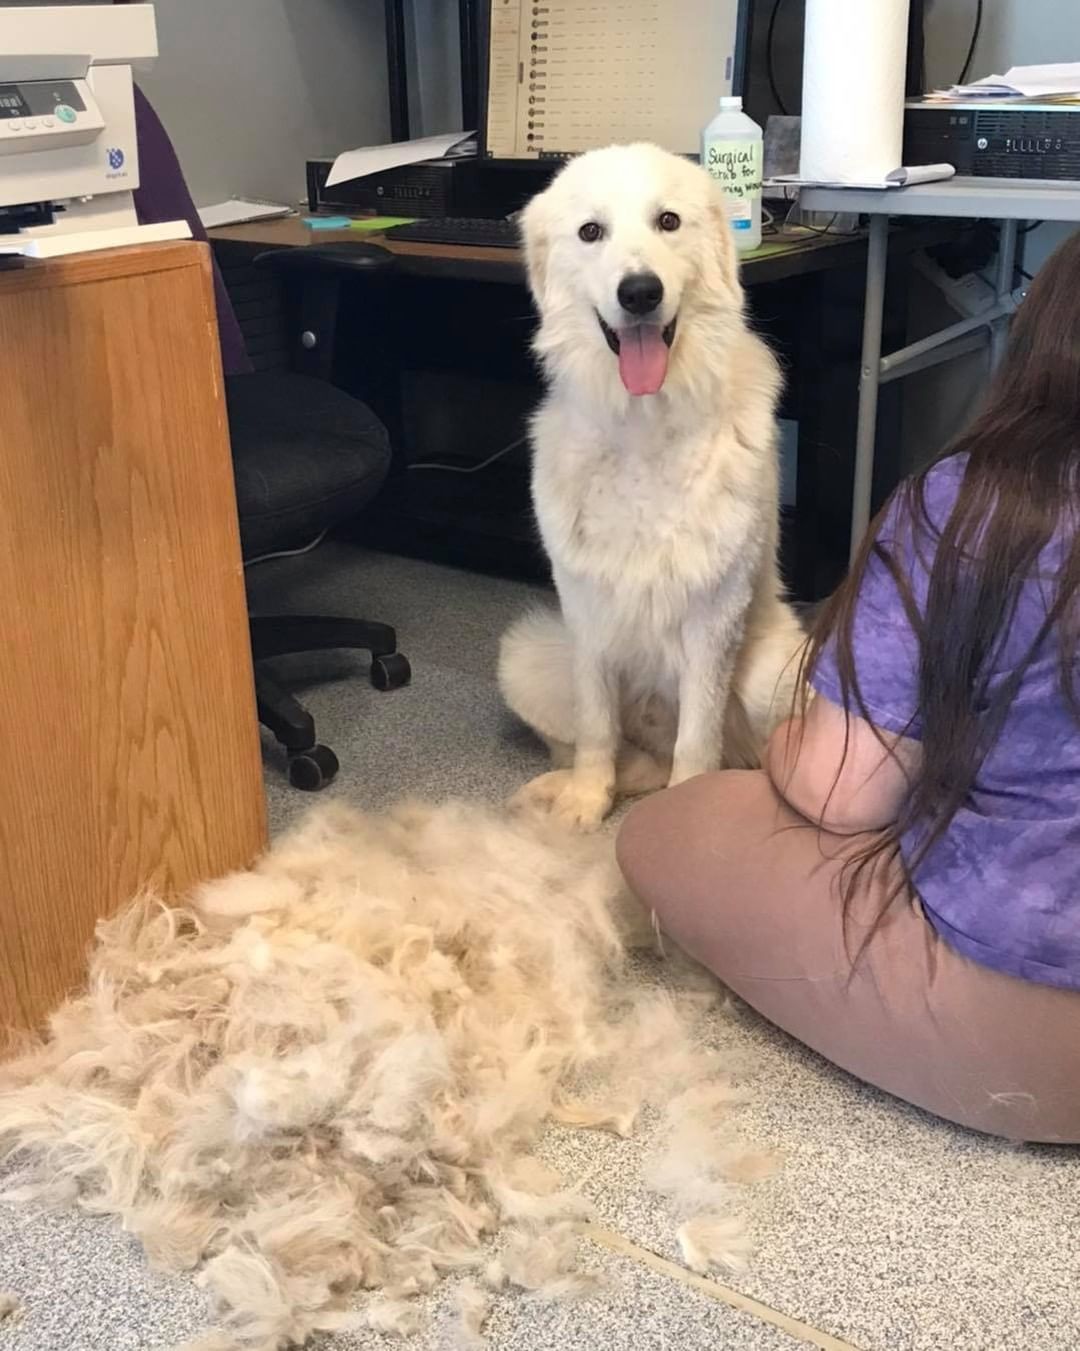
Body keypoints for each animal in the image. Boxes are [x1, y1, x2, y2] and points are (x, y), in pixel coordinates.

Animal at [497, 142, 800, 826]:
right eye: (591, 232)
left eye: (667, 222)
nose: (639, 292)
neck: (644, 425)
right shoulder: (584, 613)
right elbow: (595, 728)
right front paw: (585, 803)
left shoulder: (714, 617)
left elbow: (698, 738)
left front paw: (685, 811)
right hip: (525, 655)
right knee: (624, 757)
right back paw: (555, 791)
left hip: (774, 674)